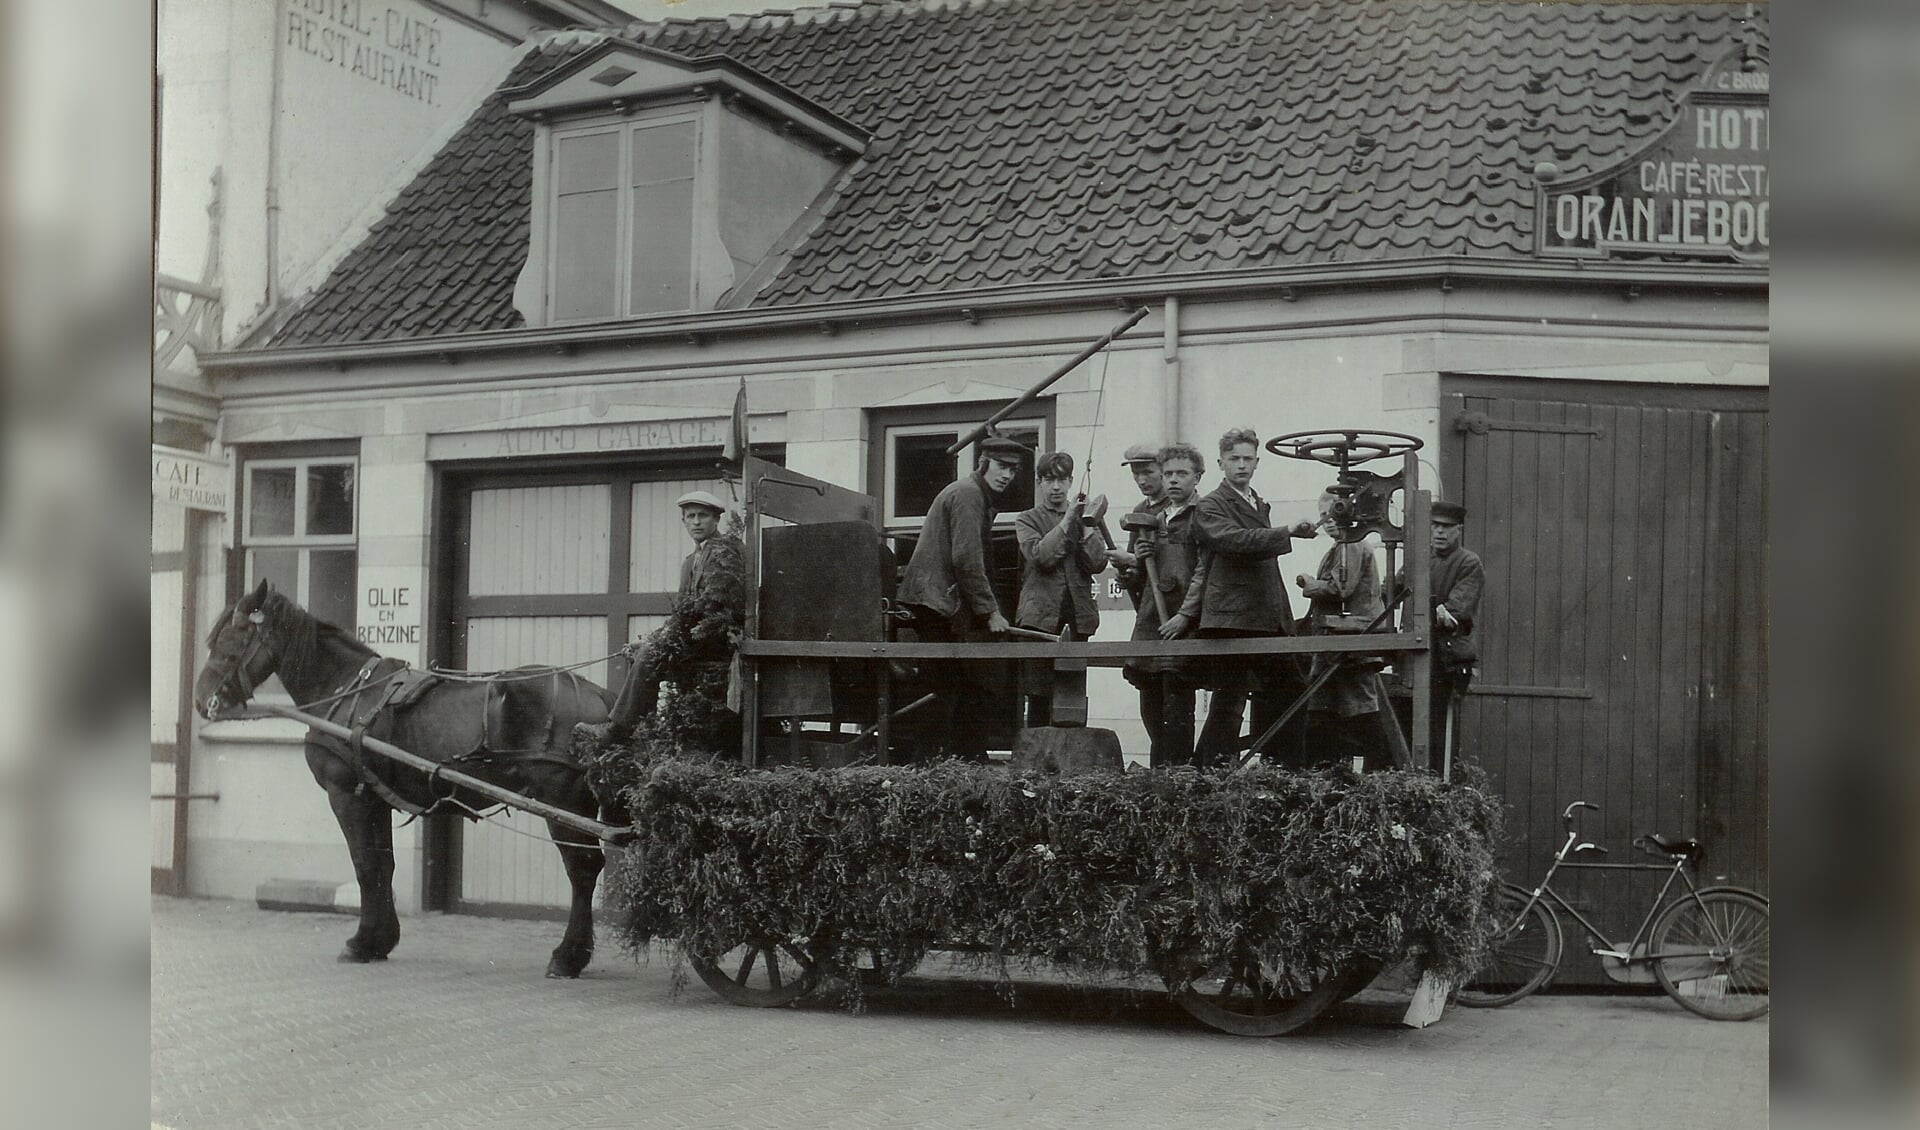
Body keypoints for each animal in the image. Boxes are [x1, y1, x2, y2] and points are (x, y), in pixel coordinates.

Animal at [193, 575, 618, 974]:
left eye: (230, 641)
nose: (200, 701)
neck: (346, 689)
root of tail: (597, 694)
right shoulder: (372, 796)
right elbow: (383, 865)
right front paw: (380, 940)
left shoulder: (346, 794)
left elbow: (364, 865)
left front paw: (362, 942)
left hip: (563, 801)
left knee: (582, 870)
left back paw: (568, 956)